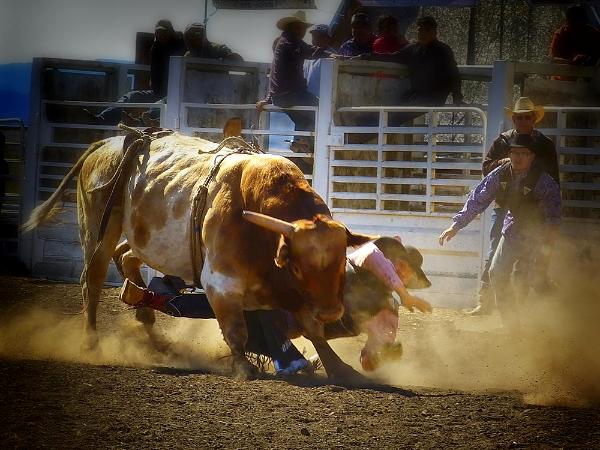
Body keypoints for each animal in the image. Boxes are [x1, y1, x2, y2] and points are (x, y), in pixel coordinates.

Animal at [25, 131, 376, 380]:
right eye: (300, 268)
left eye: (341, 261)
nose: (333, 312)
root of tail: (103, 145)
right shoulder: (220, 282)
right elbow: (236, 330)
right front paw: (244, 367)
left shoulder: (295, 296)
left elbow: (313, 330)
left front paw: (339, 368)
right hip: (99, 225)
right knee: (93, 278)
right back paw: (91, 343)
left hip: (142, 240)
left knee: (127, 258)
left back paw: (153, 331)